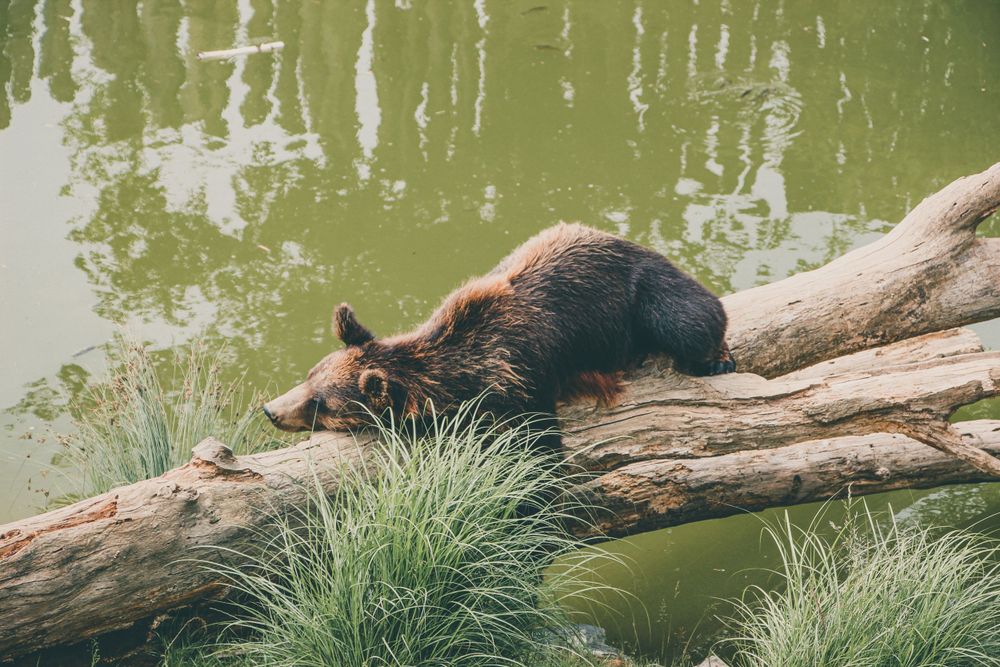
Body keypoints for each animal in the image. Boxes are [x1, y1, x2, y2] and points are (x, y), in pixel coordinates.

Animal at [262, 223, 735, 441]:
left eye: (321, 404)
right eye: (309, 376)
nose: (270, 410)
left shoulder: (523, 376)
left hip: (644, 292)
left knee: (690, 318)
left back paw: (716, 358)